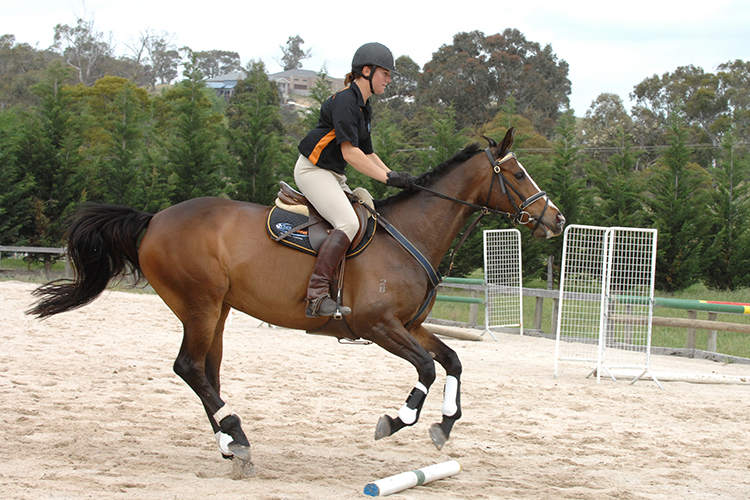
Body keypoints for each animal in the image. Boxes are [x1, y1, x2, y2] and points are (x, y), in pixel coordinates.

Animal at [29, 127, 568, 470]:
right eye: (517, 174)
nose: (557, 219)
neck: (410, 235)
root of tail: (154, 219)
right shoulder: (378, 326)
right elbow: (427, 370)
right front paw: (397, 421)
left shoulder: (410, 325)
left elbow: (452, 360)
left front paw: (445, 426)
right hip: (199, 303)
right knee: (190, 367)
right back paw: (237, 437)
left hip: (217, 309)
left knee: (206, 372)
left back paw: (230, 443)